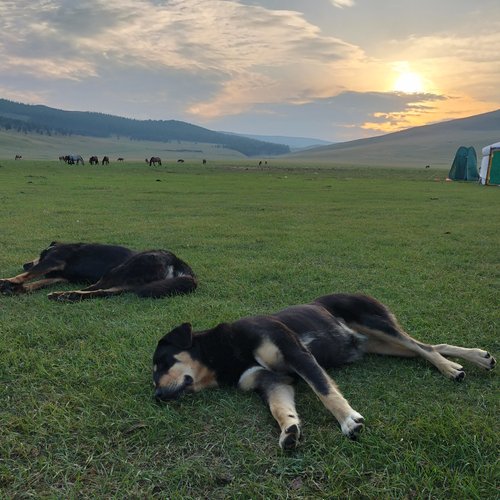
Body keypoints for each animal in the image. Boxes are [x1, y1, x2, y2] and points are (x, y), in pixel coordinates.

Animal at [0, 241, 196, 302]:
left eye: (38, 256)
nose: (25, 263)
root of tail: (178, 262)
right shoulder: (60, 277)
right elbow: (38, 281)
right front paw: (20, 288)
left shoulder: (53, 260)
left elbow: (29, 274)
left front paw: (8, 282)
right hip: (128, 283)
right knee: (101, 292)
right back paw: (69, 296)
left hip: (118, 271)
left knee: (94, 288)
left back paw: (64, 295)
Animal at [152, 292, 496, 450]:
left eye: (160, 363)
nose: (155, 396)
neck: (226, 353)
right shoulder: (273, 381)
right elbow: (280, 409)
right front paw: (289, 430)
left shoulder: (297, 354)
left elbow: (325, 391)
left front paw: (348, 421)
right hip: (381, 344)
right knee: (431, 346)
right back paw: (476, 358)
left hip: (376, 323)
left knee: (424, 348)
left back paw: (451, 368)